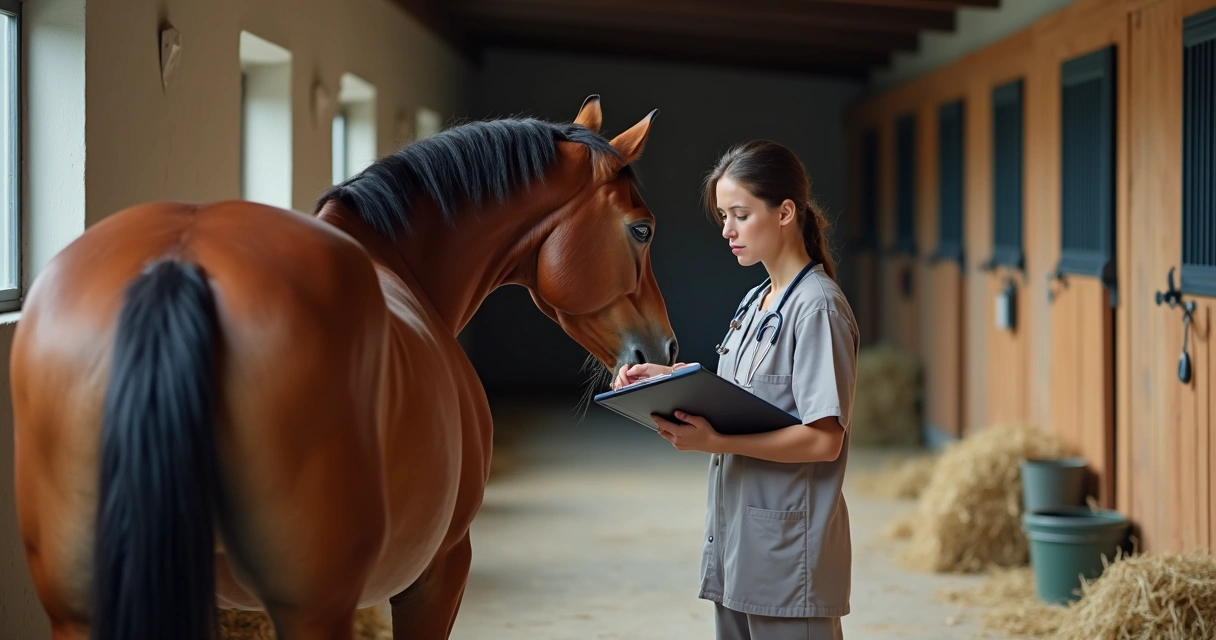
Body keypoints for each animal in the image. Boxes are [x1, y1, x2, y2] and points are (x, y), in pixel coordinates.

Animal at [10, 95, 678, 640]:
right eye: (642, 230)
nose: (665, 349)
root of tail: (180, 264)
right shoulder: (439, 571)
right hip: (314, 609)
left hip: (82, 610)